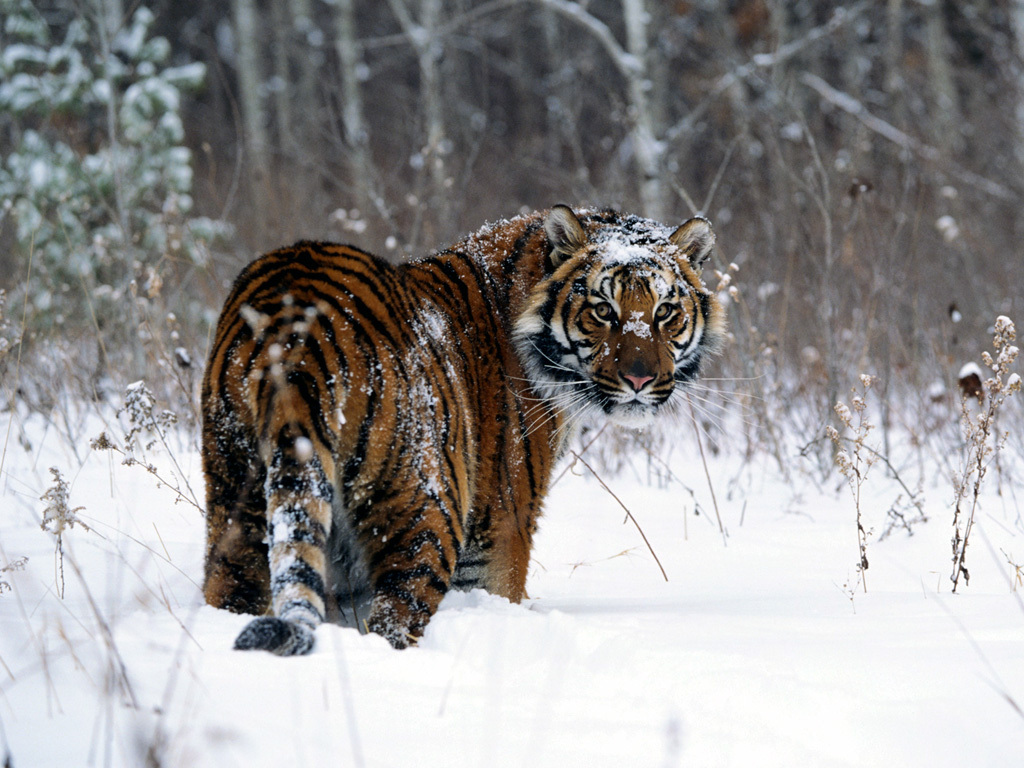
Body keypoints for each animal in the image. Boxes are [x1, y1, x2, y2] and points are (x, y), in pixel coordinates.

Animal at [203, 205, 724, 655]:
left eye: (664, 312)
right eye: (602, 310)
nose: (639, 380)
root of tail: (296, 329)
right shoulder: (502, 525)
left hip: (236, 499)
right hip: (426, 511)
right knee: (395, 620)